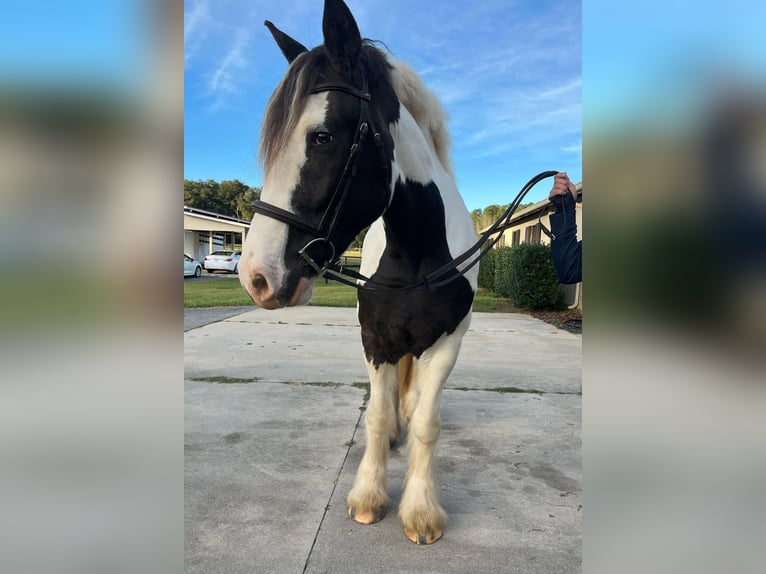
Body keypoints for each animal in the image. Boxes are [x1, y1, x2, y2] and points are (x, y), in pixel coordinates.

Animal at [240, 0, 480, 548]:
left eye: (322, 136)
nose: (256, 276)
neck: (415, 255)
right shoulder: (375, 336)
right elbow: (375, 414)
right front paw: (369, 496)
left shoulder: (447, 342)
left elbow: (428, 422)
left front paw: (421, 511)